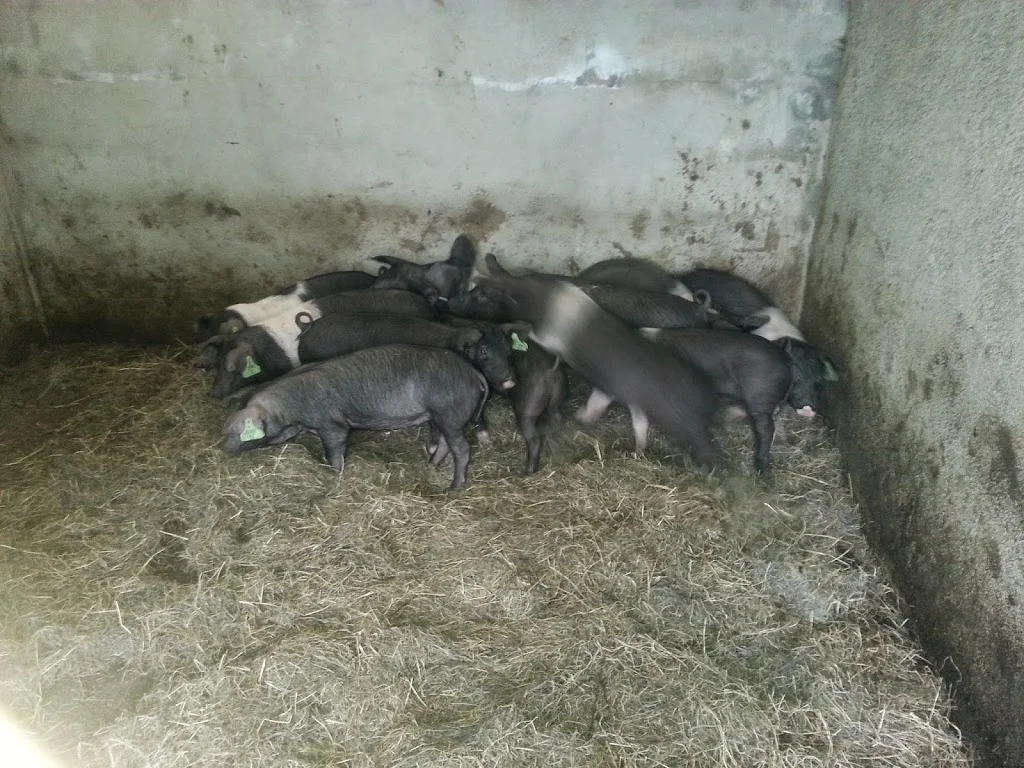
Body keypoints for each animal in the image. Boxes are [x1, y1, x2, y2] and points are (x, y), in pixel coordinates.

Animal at [221, 345, 489, 489]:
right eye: (226, 427)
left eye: (239, 431)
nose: (222, 448)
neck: (290, 411)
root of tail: (473, 372)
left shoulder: (332, 424)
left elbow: (334, 452)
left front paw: (335, 475)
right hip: (440, 415)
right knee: (444, 443)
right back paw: (431, 466)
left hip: (449, 411)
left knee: (462, 448)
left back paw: (455, 487)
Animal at [473, 275, 718, 468]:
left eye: (502, 292)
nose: (480, 280)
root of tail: (708, 398)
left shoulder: (554, 337)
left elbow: (539, 337)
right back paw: (638, 450)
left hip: (683, 422)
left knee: (702, 444)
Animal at [584, 328, 793, 473]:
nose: (582, 418)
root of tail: (785, 362)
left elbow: (642, 421)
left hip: (761, 395)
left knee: (766, 429)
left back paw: (760, 468)